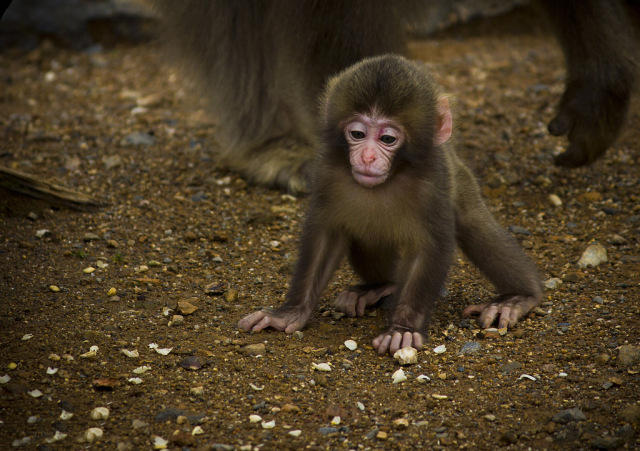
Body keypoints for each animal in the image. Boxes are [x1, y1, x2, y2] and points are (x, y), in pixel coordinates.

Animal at [238, 53, 544, 356]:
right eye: (358, 134)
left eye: (387, 138)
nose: (368, 157)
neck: (394, 173)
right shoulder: (326, 170)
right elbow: (326, 233)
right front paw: (289, 312)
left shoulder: (434, 180)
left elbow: (429, 246)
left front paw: (402, 328)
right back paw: (378, 287)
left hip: (461, 180)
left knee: (474, 224)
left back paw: (518, 298)